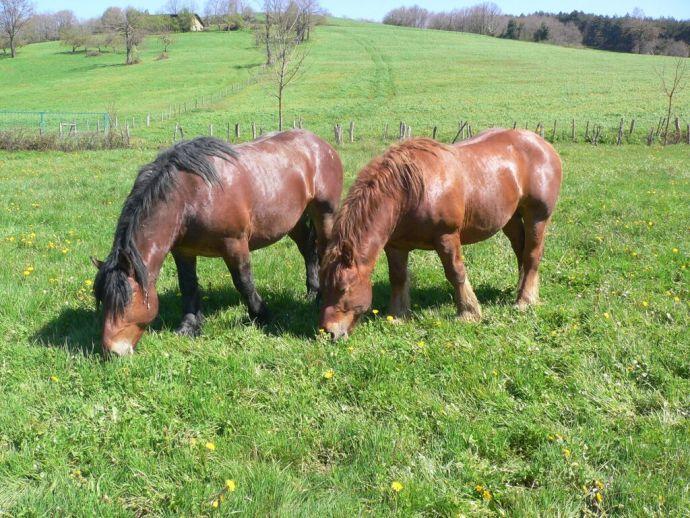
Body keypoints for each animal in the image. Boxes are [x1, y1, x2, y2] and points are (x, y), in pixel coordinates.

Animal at [93, 130, 342, 358]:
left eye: (125, 303)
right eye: (103, 301)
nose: (111, 352)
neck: (191, 196)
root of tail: (320, 143)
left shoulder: (235, 244)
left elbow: (243, 282)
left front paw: (260, 315)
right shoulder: (183, 251)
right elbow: (188, 286)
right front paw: (189, 326)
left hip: (325, 214)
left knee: (324, 251)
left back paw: (321, 297)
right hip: (294, 221)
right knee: (308, 250)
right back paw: (312, 292)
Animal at [320, 129, 560, 342]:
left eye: (343, 288)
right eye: (322, 287)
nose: (328, 333)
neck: (408, 192)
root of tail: (544, 145)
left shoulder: (447, 237)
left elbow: (455, 273)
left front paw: (468, 312)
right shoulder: (396, 245)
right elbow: (398, 277)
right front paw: (397, 315)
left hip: (537, 217)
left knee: (532, 255)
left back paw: (524, 300)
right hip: (510, 219)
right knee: (520, 252)